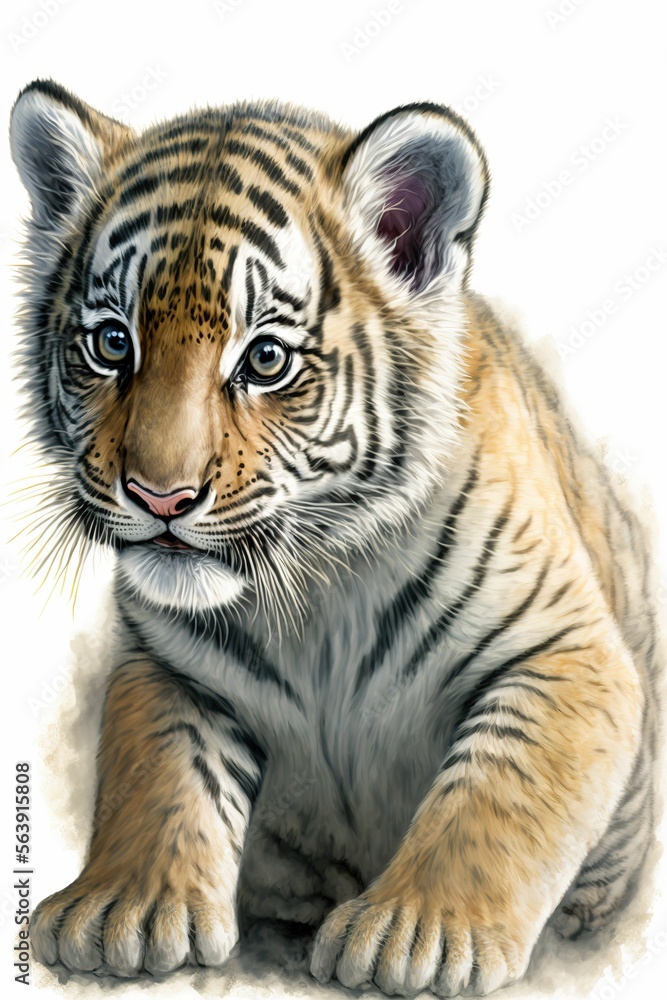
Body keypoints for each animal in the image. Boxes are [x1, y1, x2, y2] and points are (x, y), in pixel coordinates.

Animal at [10, 78, 661, 997]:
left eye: (265, 359)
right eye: (111, 344)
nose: (159, 495)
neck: (314, 594)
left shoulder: (563, 650)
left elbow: (493, 798)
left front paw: (420, 933)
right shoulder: (169, 667)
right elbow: (157, 776)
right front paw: (125, 909)